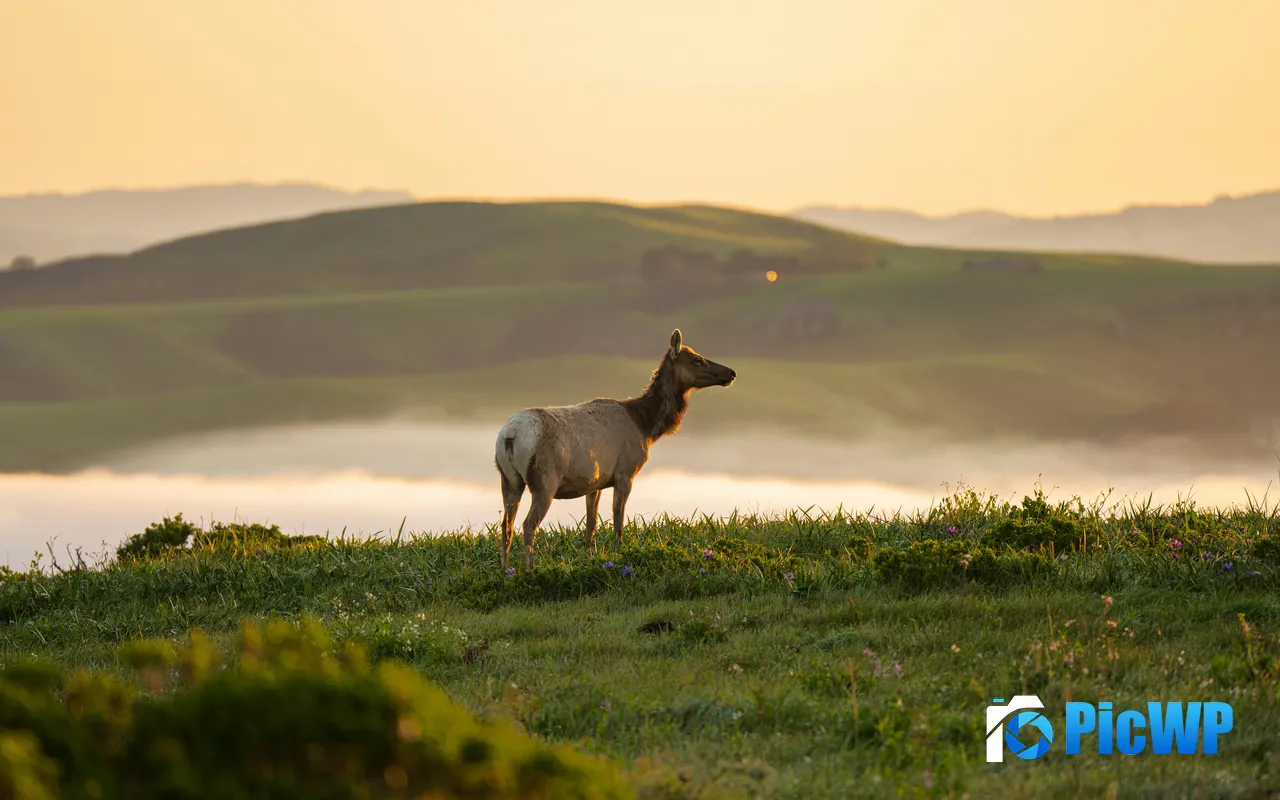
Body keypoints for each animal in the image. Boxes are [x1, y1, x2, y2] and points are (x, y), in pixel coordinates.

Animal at [492, 329, 736, 571]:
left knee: (506, 525)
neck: (646, 427)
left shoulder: (595, 482)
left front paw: (590, 557)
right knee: (528, 525)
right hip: (544, 480)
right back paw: (529, 569)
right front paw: (620, 554)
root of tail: (510, 435)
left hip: (509, 478)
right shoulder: (625, 472)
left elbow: (591, 524)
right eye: (697, 359)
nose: (731, 373)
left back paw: (506, 570)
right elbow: (618, 522)